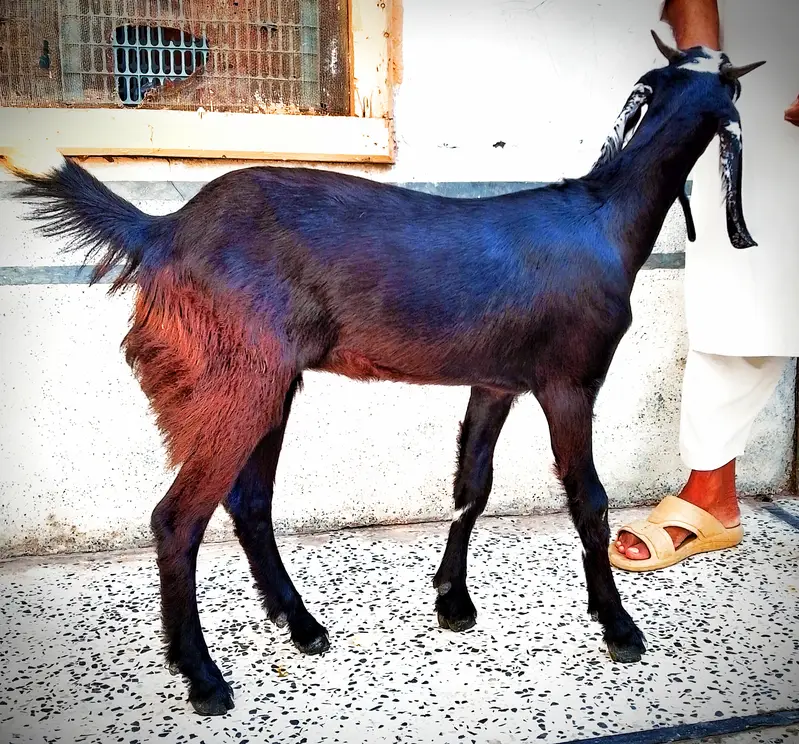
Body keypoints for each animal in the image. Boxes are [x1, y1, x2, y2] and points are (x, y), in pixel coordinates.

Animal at [9, 31, 765, 717]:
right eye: (728, 87)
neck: (603, 220)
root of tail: (164, 231)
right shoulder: (569, 379)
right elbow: (590, 501)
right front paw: (619, 629)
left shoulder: (496, 380)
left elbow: (471, 487)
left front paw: (453, 602)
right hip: (236, 375)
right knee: (177, 518)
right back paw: (203, 677)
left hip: (267, 381)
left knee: (249, 500)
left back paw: (301, 625)